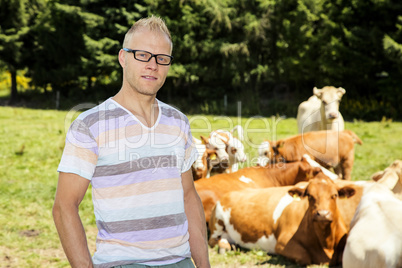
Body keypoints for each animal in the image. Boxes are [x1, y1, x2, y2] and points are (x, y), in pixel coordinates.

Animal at [209, 176, 356, 266]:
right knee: (214, 240)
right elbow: (305, 258)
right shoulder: (282, 244)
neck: (326, 242)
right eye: (309, 196)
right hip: (217, 224)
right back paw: (225, 246)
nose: (322, 214)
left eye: (334, 195)